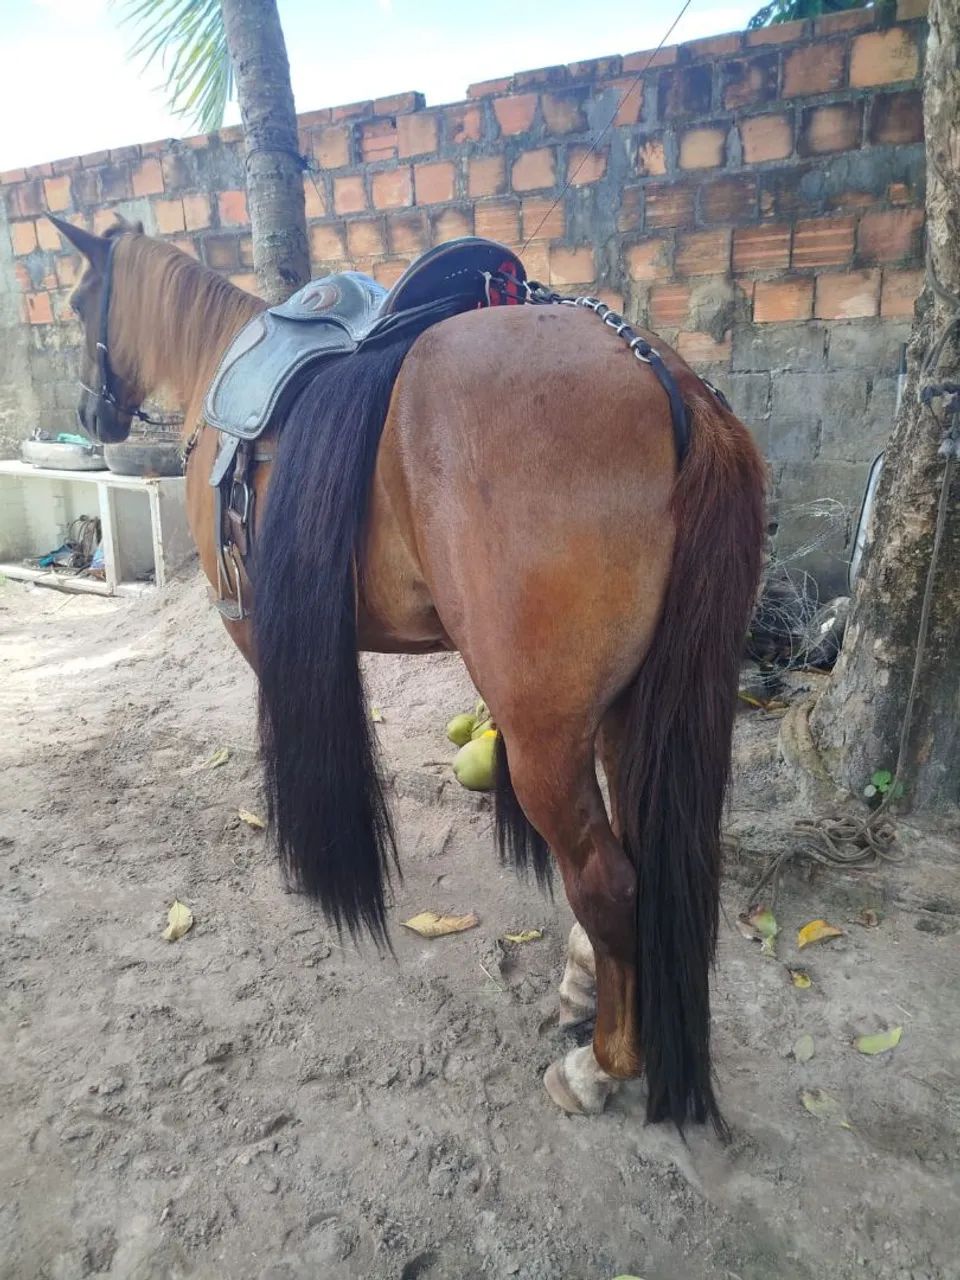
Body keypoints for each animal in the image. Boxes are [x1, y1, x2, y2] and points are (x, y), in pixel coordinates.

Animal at [49, 213, 766, 1131]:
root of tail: (669, 381)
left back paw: (600, 1067)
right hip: (622, 709)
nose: (88, 410)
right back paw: (584, 990)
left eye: (78, 302)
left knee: (606, 878)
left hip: (543, 736)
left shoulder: (253, 630)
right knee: (634, 853)